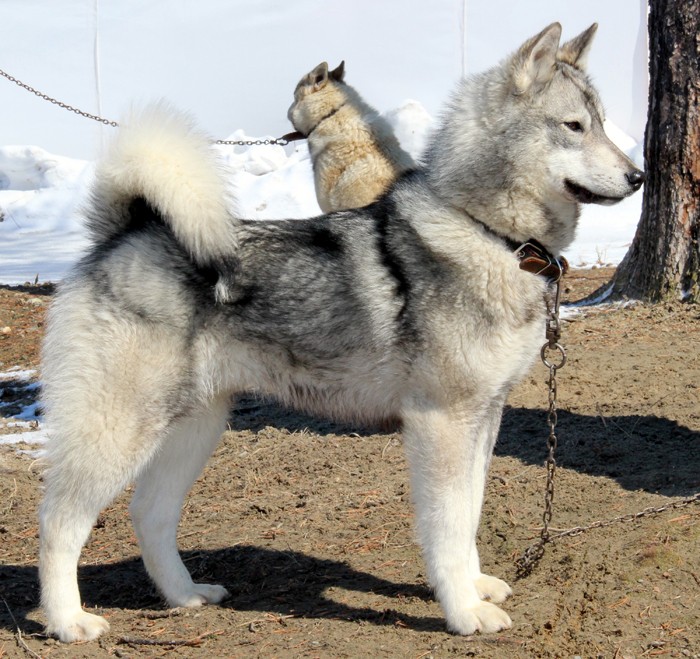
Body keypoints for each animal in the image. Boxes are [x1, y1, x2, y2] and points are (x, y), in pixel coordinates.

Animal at [37, 23, 640, 640]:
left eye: (601, 121)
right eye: (574, 126)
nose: (638, 176)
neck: (487, 232)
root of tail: (127, 233)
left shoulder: (484, 416)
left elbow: (470, 512)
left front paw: (475, 586)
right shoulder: (442, 421)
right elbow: (448, 524)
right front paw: (464, 610)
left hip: (193, 428)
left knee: (149, 514)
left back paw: (185, 595)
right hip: (120, 429)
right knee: (60, 522)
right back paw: (68, 620)